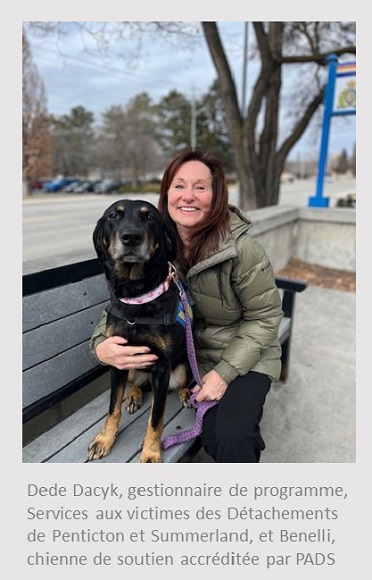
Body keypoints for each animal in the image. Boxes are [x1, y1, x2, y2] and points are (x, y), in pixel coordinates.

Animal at [87, 199, 192, 462]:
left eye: (150, 218)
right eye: (113, 216)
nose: (131, 237)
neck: (137, 297)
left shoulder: (162, 365)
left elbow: (155, 419)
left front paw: (151, 452)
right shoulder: (117, 358)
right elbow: (112, 408)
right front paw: (104, 439)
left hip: (183, 365)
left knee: (177, 384)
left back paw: (185, 393)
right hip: (132, 366)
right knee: (136, 382)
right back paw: (134, 395)